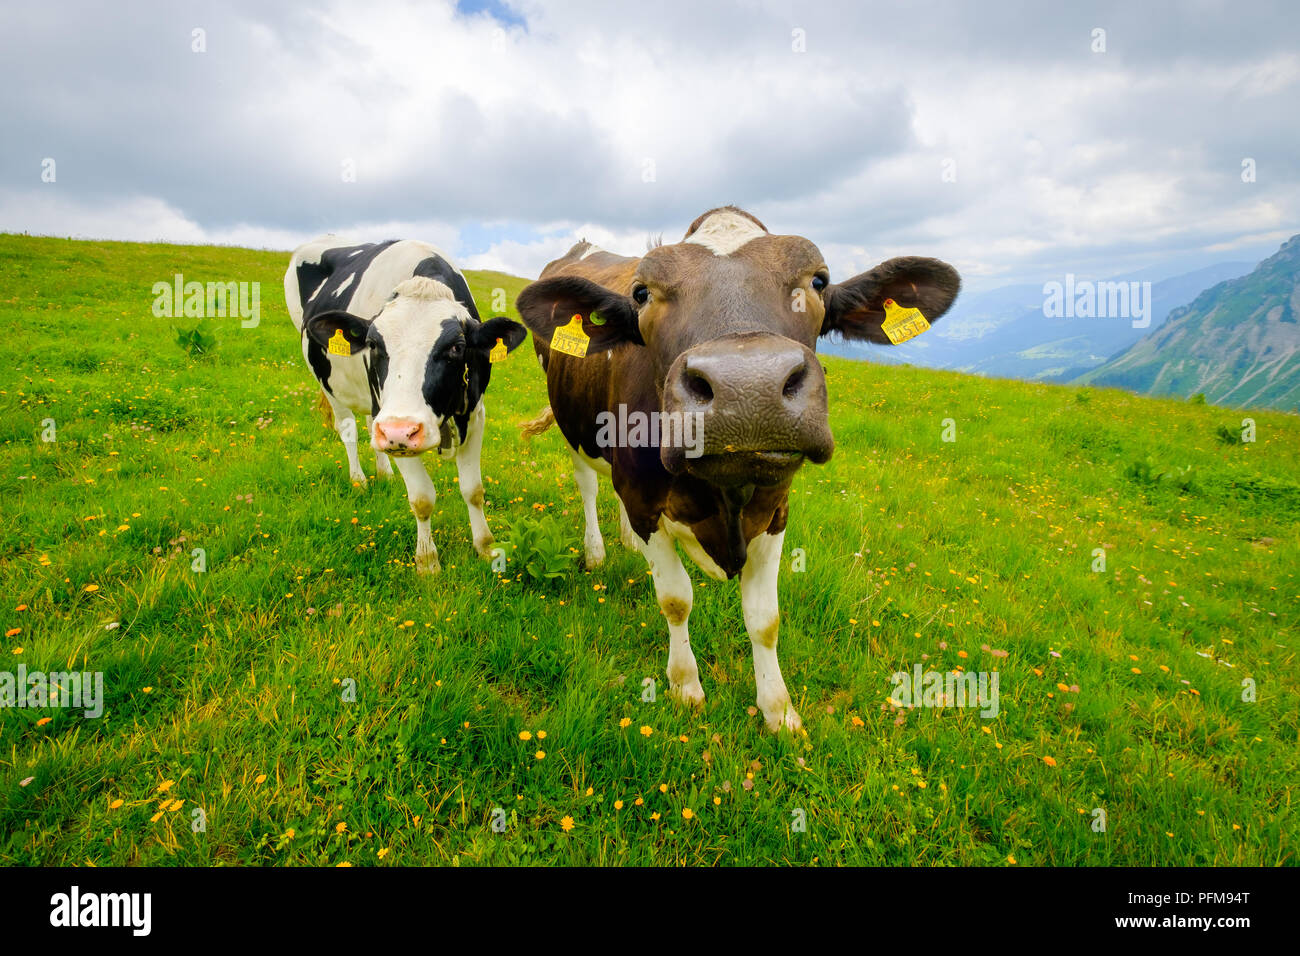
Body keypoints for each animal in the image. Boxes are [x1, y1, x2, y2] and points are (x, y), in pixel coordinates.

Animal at [285, 237, 526, 572]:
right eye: (373, 344)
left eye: (457, 347)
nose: (400, 430)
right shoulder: (395, 432)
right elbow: (422, 498)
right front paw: (427, 561)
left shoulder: (475, 412)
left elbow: (473, 490)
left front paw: (486, 547)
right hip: (328, 381)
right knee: (348, 428)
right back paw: (359, 479)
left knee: (368, 426)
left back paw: (383, 472)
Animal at [515, 207, 959, 731]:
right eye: (641, 293)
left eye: (819, 280)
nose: (749, 386)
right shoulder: (645, 500)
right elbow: (676, 599)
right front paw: (685, 686)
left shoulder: (776, 508)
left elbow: (764, 618)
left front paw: (779, 710)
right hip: (574, 427)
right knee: (586, 483)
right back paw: (597, 550)